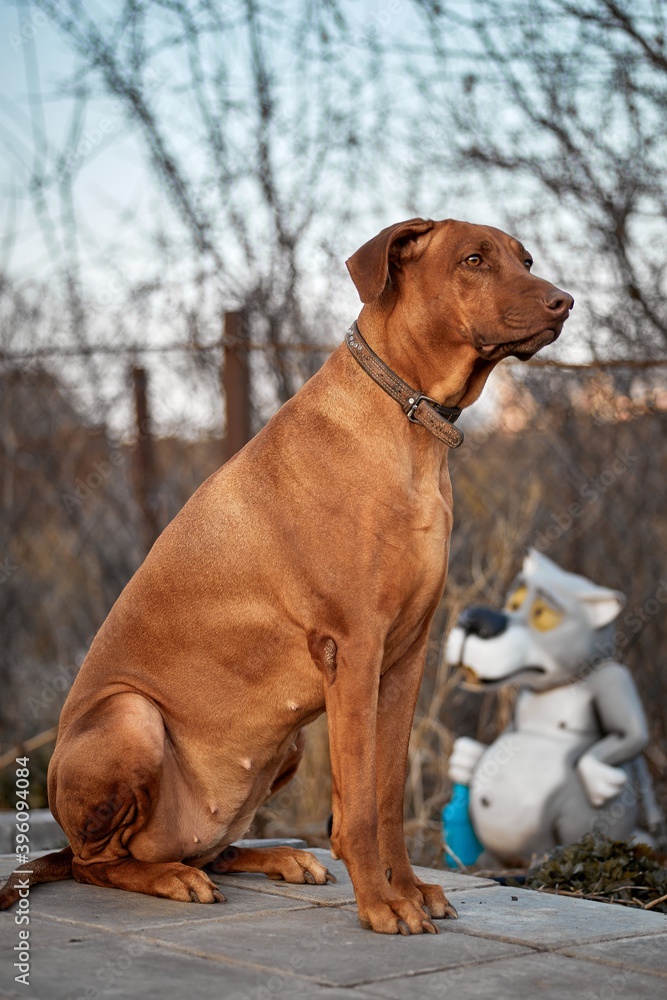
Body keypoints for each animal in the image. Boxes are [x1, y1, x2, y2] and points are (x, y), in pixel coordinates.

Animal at [1, 217, 576, 928]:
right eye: (474, 259)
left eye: (527, 259)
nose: (564, 302)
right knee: (96, 863)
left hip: (288, 743)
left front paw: (411, 889)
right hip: (130, 717)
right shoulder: (352, 648)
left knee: (209, 851)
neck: (410, 420)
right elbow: (359, 806)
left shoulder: (406, 656)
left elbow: (388, 793)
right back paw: (169, 878)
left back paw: (275, 857)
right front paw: (381, 904)